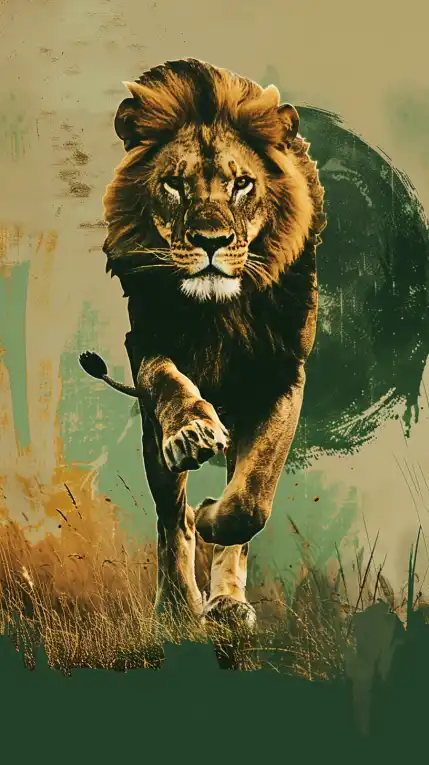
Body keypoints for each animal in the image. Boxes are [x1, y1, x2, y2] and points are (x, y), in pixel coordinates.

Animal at [79, 58, 326, 629]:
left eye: (242, 185)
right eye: (174, 184)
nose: (210, 243)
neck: (221, 313)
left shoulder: (282, 374)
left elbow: (251, 501)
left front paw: (217, 514)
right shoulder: (148, 342)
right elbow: (171, 384)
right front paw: (191, 433)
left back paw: (227, 602)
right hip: (151, 442)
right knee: (171, 519)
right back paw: (177, 606)